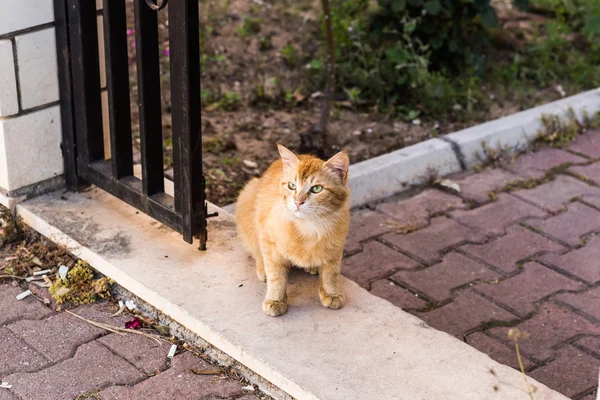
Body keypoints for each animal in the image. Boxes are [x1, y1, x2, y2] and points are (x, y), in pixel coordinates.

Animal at [236, 144, 350, 316]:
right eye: (292, 186)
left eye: (317, 188)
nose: (298, 202)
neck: (310, 227)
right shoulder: (268, 241)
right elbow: (276, 276)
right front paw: (275, 300)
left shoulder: (336, 248)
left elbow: (331, 273)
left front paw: (331, 293)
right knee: (256, 251)